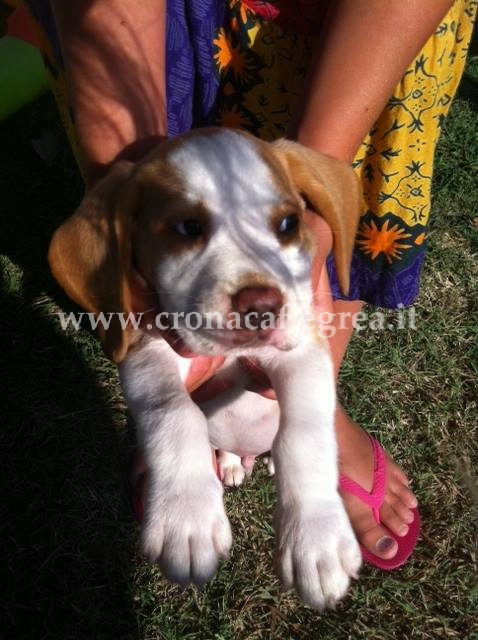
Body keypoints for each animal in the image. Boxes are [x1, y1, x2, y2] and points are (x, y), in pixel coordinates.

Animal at [48, 126, 362, 608]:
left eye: (288, 225)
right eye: (187, 228)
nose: (261, 308)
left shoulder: (302, 352)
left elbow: (303, 431)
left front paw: (316, 535)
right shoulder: (146, 352)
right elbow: (174, 413)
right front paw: (186, 515)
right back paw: (230, 463)